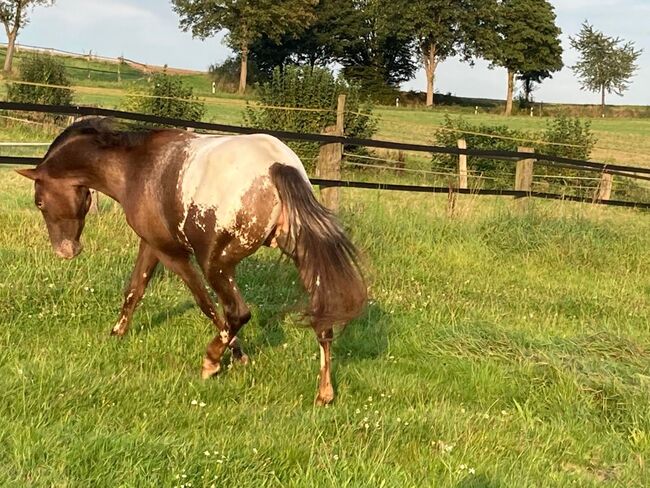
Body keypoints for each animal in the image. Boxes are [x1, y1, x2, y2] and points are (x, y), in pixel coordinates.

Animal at [17, 118, 364, 404]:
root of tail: (278, 164)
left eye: (39, 201)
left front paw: (236, 356)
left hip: (216, 263)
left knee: (237, 312)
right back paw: (324, 393)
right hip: (299, 256)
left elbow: (205, 304)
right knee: (323, 319)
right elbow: (135, 289)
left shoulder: (173, 253)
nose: (66, 251)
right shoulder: (150, 244)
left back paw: (210, 362)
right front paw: (116, 333)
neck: (135, 167)